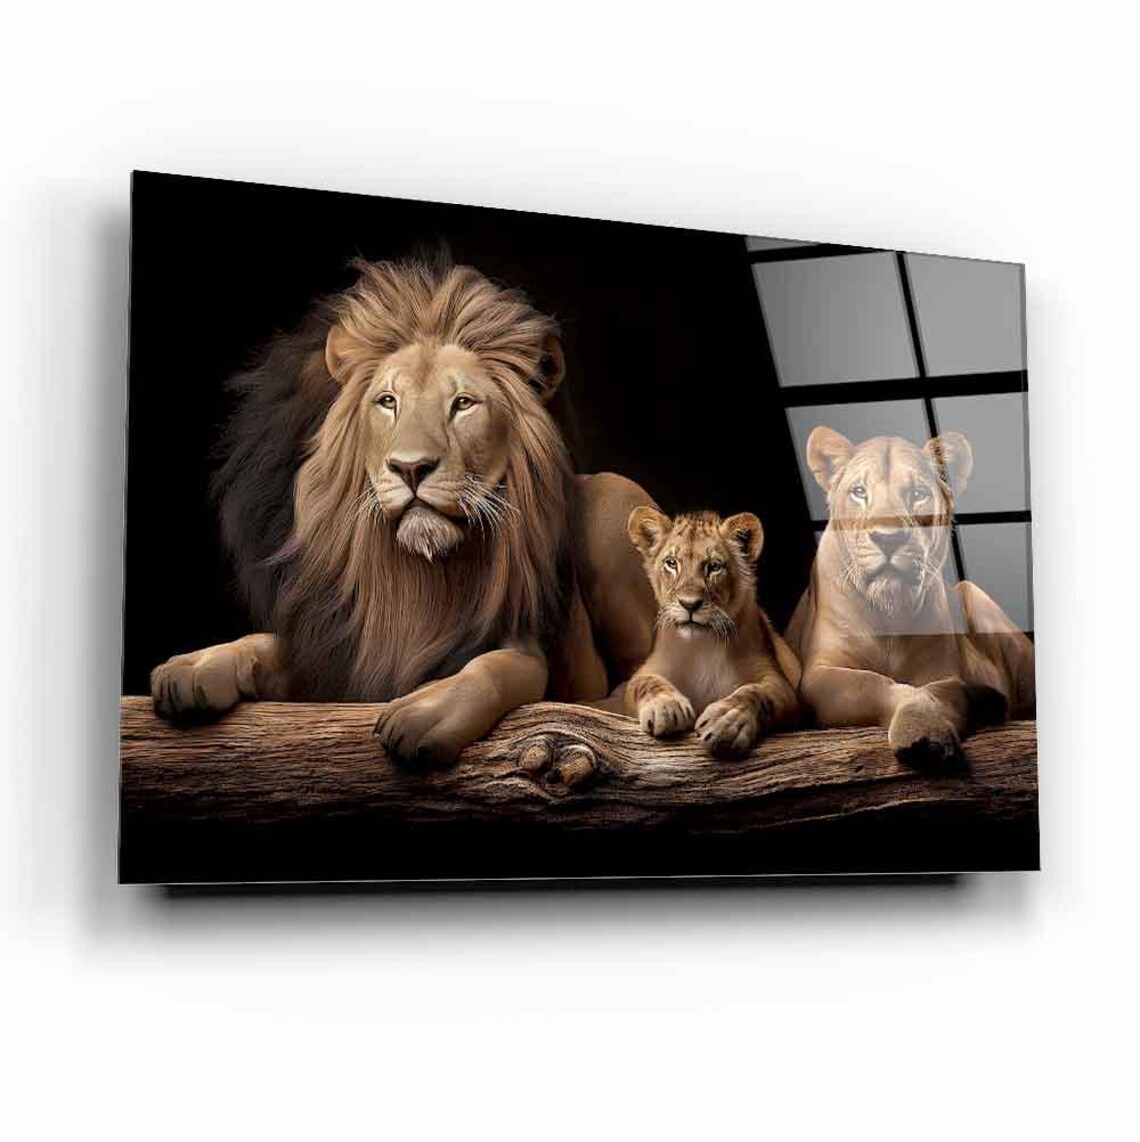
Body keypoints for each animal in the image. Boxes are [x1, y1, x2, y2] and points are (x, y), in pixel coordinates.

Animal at [150, 257, 658, 769]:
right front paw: (195, 666)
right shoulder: (336, 659)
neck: (417, 579)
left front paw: (428, 709)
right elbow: (265, 643)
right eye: (388, 402)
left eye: (463, 404)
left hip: (614, 496)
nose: (411, 467)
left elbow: (506, 664)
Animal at [624, 507, 801, 758]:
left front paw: (727, 720)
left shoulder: (780, 683)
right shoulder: (647, 669)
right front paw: (666, 706)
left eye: (714, 566)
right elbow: (646, 682)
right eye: (671, 563)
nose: (689, 604)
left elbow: (756, 693)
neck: (702, 646)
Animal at [786, 425, 1036, 768]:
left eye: (918, 494)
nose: (888, 539)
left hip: (975, 597)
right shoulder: (817, 676)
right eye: (859, 491)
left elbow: (936, 689)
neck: (889, 617)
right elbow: (875, 683)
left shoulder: (941, 669)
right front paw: (924, 732)